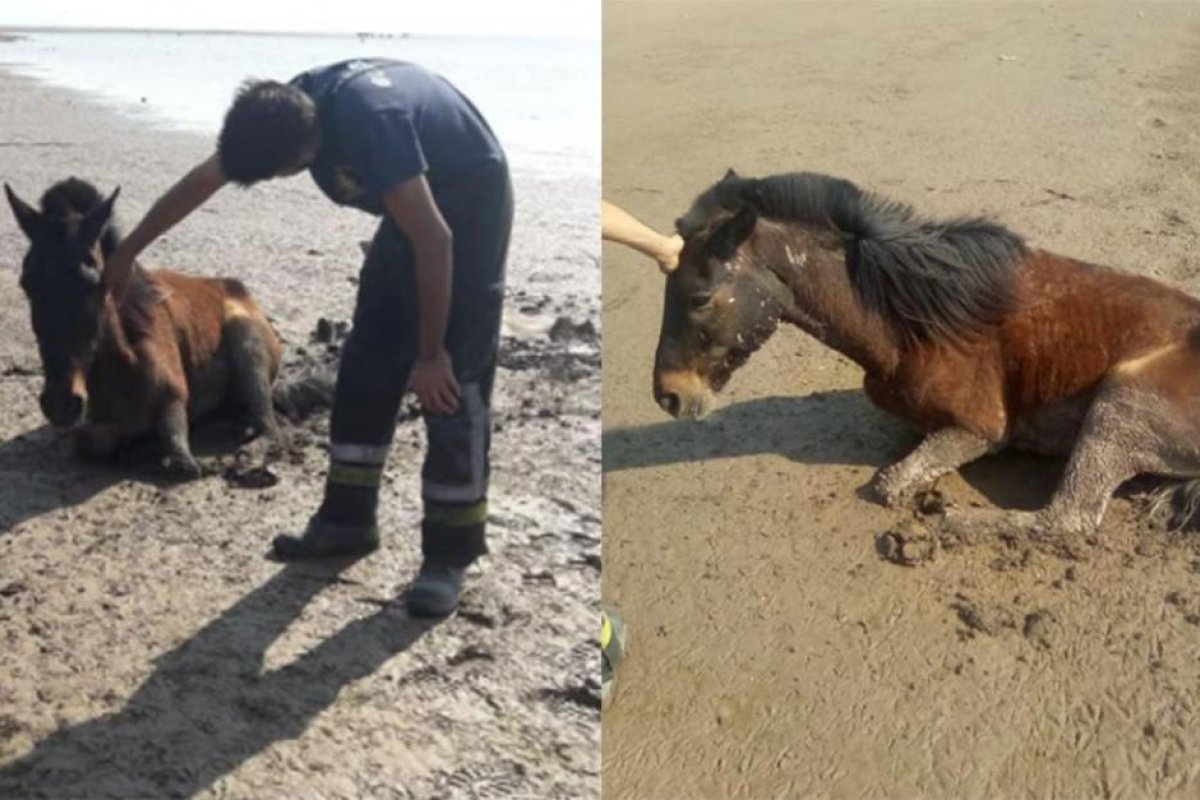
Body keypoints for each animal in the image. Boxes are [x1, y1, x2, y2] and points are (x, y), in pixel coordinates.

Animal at [5, 177, 282, 477]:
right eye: (27, 282)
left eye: (94, 283)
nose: (60, 404)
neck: (125, 366)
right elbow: (91, 442)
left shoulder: (174, 401)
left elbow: (182, 461)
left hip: (249, 345)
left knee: (267, 423)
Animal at [653, 168, 1200, 539]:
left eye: (700, 297)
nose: (669, 397)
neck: (913, 315)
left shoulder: (980, 431)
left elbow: (888, 483)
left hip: (1118, 405)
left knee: (1066, 518)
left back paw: (951, 520)